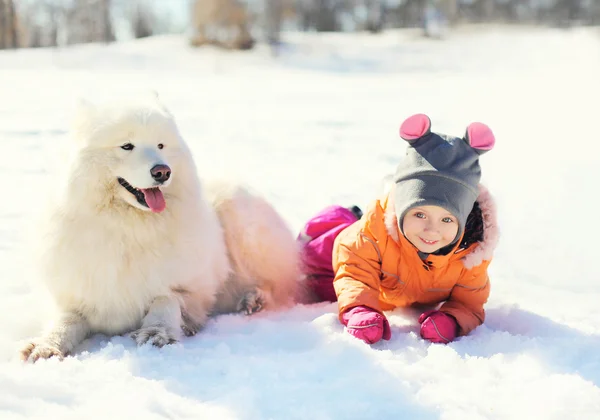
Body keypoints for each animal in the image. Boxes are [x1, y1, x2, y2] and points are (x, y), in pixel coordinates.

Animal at [21, 93, 302, 362]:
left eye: (160, 145)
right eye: (127, 146)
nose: (162, 171)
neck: (130, 227)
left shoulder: (193, 292)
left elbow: (165, 300)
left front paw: (158, 332)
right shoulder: (78, 296)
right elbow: (64, 322)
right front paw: (45, 346)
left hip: (240, 221)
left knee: (277, 282)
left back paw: (254, 298)